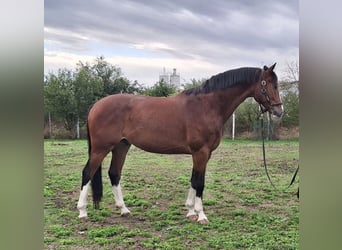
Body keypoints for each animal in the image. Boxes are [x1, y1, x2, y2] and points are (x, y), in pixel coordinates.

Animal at [77, 63, 284, 224]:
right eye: (270, 85)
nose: (279, 111)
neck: (207, 106)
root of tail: (96, 106)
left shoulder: (202, 154)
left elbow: (194, 180)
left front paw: (191, 211)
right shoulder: (201, 152)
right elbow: (200, 182)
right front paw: (201, 215)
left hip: (122, 146)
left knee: (114, 174)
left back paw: (124, 210)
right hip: (101, 148)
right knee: (87, 172)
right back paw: (82, 212)